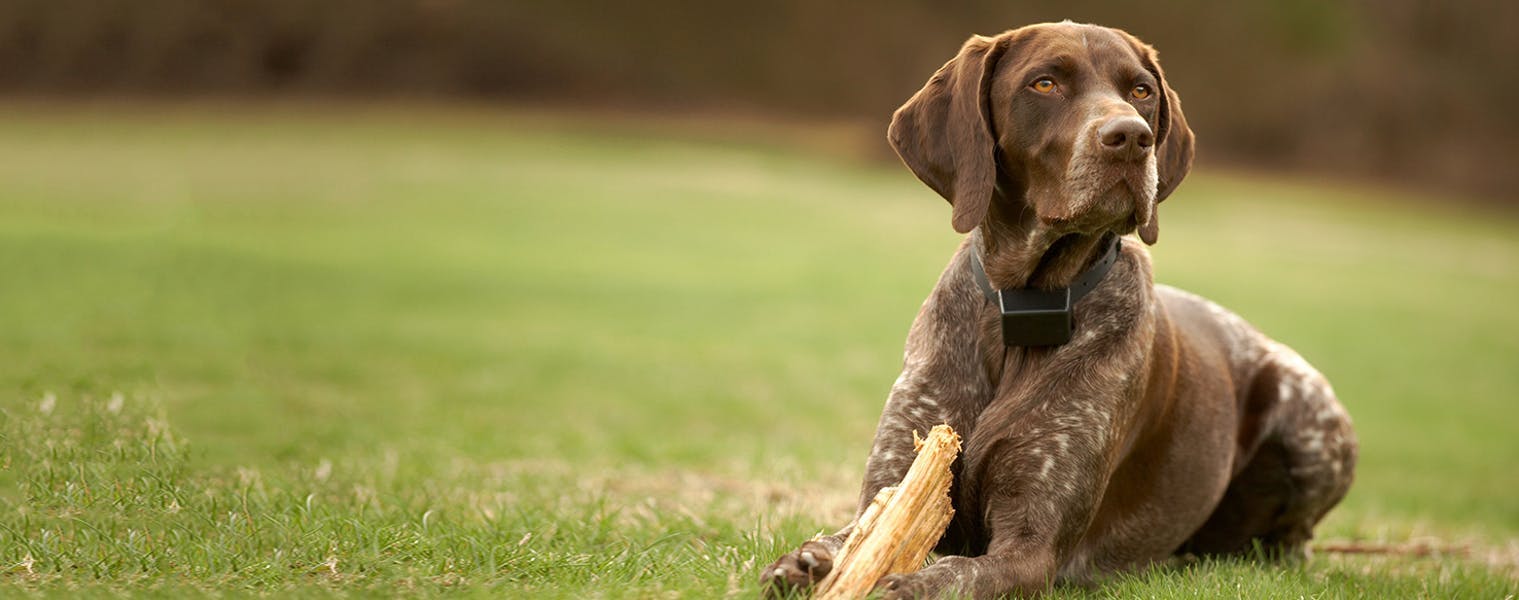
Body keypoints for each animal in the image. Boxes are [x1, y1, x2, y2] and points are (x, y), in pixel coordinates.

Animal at [765, 21, 1361, 598]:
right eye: (1045, 83)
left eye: (1140, 91)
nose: (1132, 138)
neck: (1025, 306)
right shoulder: (896, 481)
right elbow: (848, 538)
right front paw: (808, 561)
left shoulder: (1032, 547)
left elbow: (955, 572)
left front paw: (907, 584)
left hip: (1309, 415)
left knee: (1290, 543)